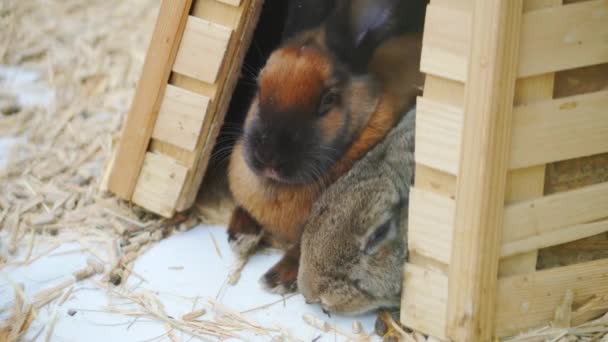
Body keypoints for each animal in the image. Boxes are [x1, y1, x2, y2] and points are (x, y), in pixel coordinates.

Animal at [226, 0, 426, 294]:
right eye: (259, 87)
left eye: (327, 100)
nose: (268, 159)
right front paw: (240, 236)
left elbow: (305, 248)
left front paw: (276, 278)